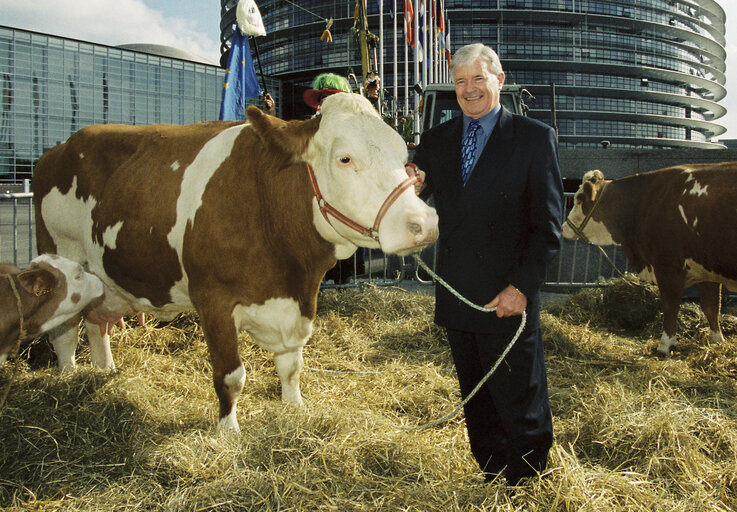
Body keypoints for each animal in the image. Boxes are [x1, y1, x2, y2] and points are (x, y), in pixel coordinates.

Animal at [33, 93, 436, 432]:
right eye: (345, 158)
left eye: (403, 158)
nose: (424, 223)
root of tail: (58, 149)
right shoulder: (214, 301)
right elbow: (230, 376)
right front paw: (228, 433)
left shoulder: (300, 300)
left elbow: (292, 366)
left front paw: (295, 409)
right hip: (64, 257)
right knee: (64, 331)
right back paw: (68, 377)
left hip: (101, 276)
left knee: (95, 323)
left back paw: (104, 370)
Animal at [560, 165, 732, 356]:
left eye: (579, 199)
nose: (563, 228)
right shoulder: (707, 270)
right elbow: (711, 307)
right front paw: (717, 342)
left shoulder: (668, 266)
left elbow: (670, 307)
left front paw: (665, 346)